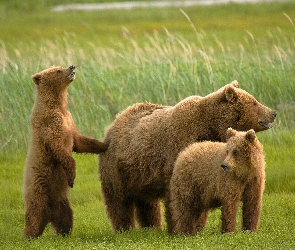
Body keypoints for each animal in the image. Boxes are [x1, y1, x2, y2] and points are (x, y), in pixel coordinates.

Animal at [23, 65, 108, 239]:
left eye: (60, 67)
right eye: (57, 70)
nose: (72, 66)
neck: (58, 105)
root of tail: (49, 216)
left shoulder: (69, 122)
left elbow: (80, 142)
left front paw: (104, 144)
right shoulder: (50, 125)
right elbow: (59, 149)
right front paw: (72, 177)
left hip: (61, 201)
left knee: (66, 217)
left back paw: (64, 233)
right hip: (38, 191)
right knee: (34, 215)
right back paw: (29, 235)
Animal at [99, 81, 278, 231]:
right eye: (254, 102)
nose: (273, 112)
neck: (209, 126)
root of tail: (113, 124)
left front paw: (198, 226)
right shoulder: (179, 148)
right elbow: (177, 194)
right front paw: (178, 227)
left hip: (140, 176)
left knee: (147, 203)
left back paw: (152, 227)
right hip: (117, 170)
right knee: (119, 202)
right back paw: (124, 229)